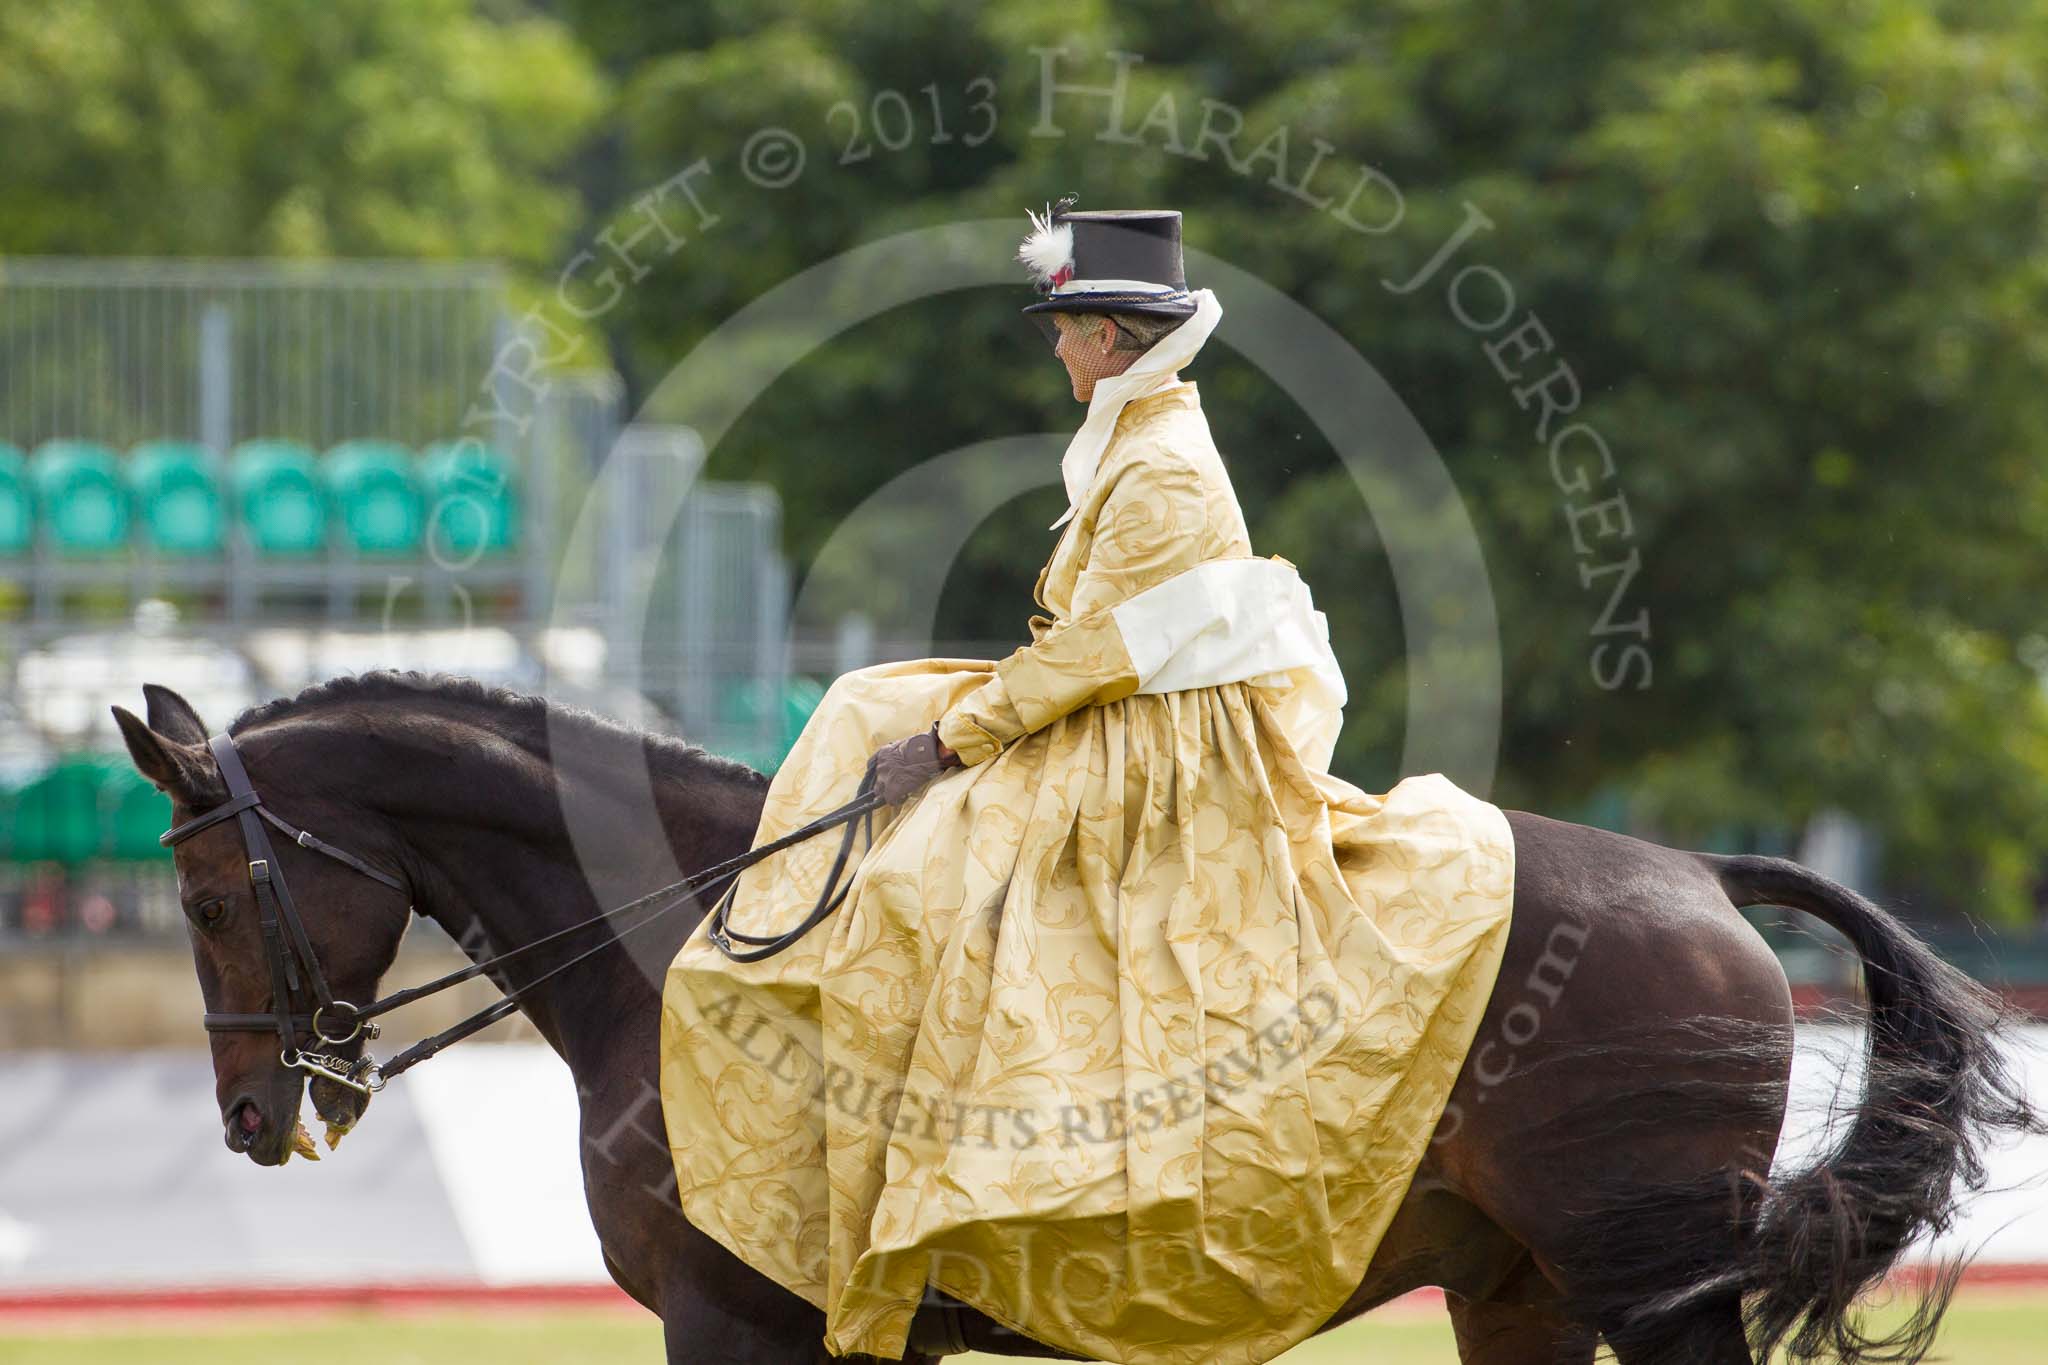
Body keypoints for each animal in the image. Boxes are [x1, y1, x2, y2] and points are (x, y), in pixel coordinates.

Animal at [112, 675, 2031, 1365]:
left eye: (200, 899)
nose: (249, 1116)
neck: (680, 942)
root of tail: (1694, 874)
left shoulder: (736, 1328)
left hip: (1648, 1293)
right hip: (1525, 1301)